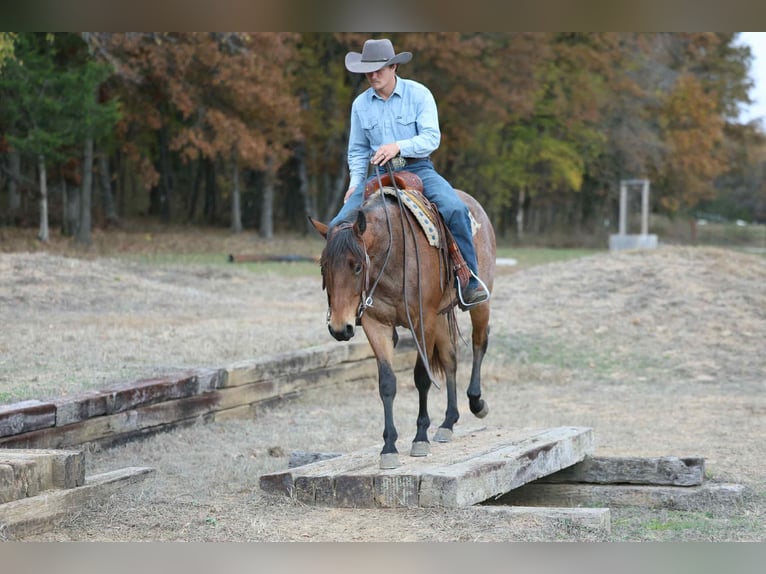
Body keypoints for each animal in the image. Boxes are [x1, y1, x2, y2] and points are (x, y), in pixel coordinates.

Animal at [309, 179, 496, 469]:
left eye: (357, 266)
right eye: (323, 267)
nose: (340, 328)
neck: (392, 255)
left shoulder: (423, 320)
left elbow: (422, 377)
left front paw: (420, 438)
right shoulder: (376, 325)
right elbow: (387, 383)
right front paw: (389, 447)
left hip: (478, 304)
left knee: (479, 343)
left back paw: (476, 402)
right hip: (441, 316)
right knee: (450, 359)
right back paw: (448, 422)